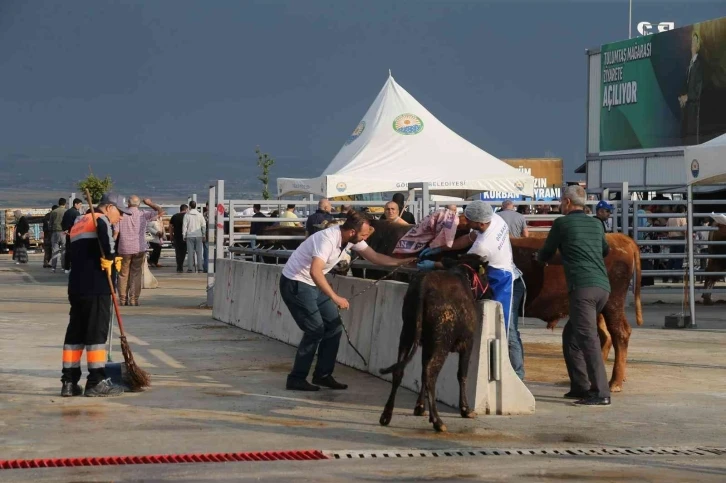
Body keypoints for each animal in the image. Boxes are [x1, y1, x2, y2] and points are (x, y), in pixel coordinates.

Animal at [378, 255, 492, 432]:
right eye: (486, 275)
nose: (492, 292)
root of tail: (423, 287)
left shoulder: (426, 344)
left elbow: (422, 372)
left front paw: (419, 407)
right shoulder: (468, 343)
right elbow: (462, 374)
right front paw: (465, 410)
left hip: (407, 333)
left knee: (401, 370)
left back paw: (386, 415)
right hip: (441, 343)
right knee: (431, 373)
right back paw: (437, 421)